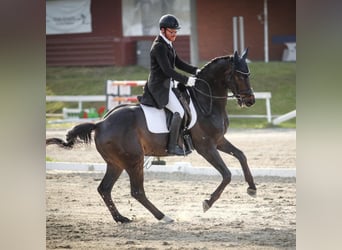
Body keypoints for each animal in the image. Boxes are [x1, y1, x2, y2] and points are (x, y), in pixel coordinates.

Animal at [47, 48, 256, 223]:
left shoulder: (218, 141)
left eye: (249, 74)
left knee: (105, 189)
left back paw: (121, 218)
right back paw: (164, 217)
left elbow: (241, 155)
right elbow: (227, 174)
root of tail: (100, 123)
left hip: (116, 163)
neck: (205, 101)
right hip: (134, 160)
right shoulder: (206, 147)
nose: (250, 101)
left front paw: (252, 188)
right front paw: (207, 203)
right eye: (239, 75)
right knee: (137, 191)